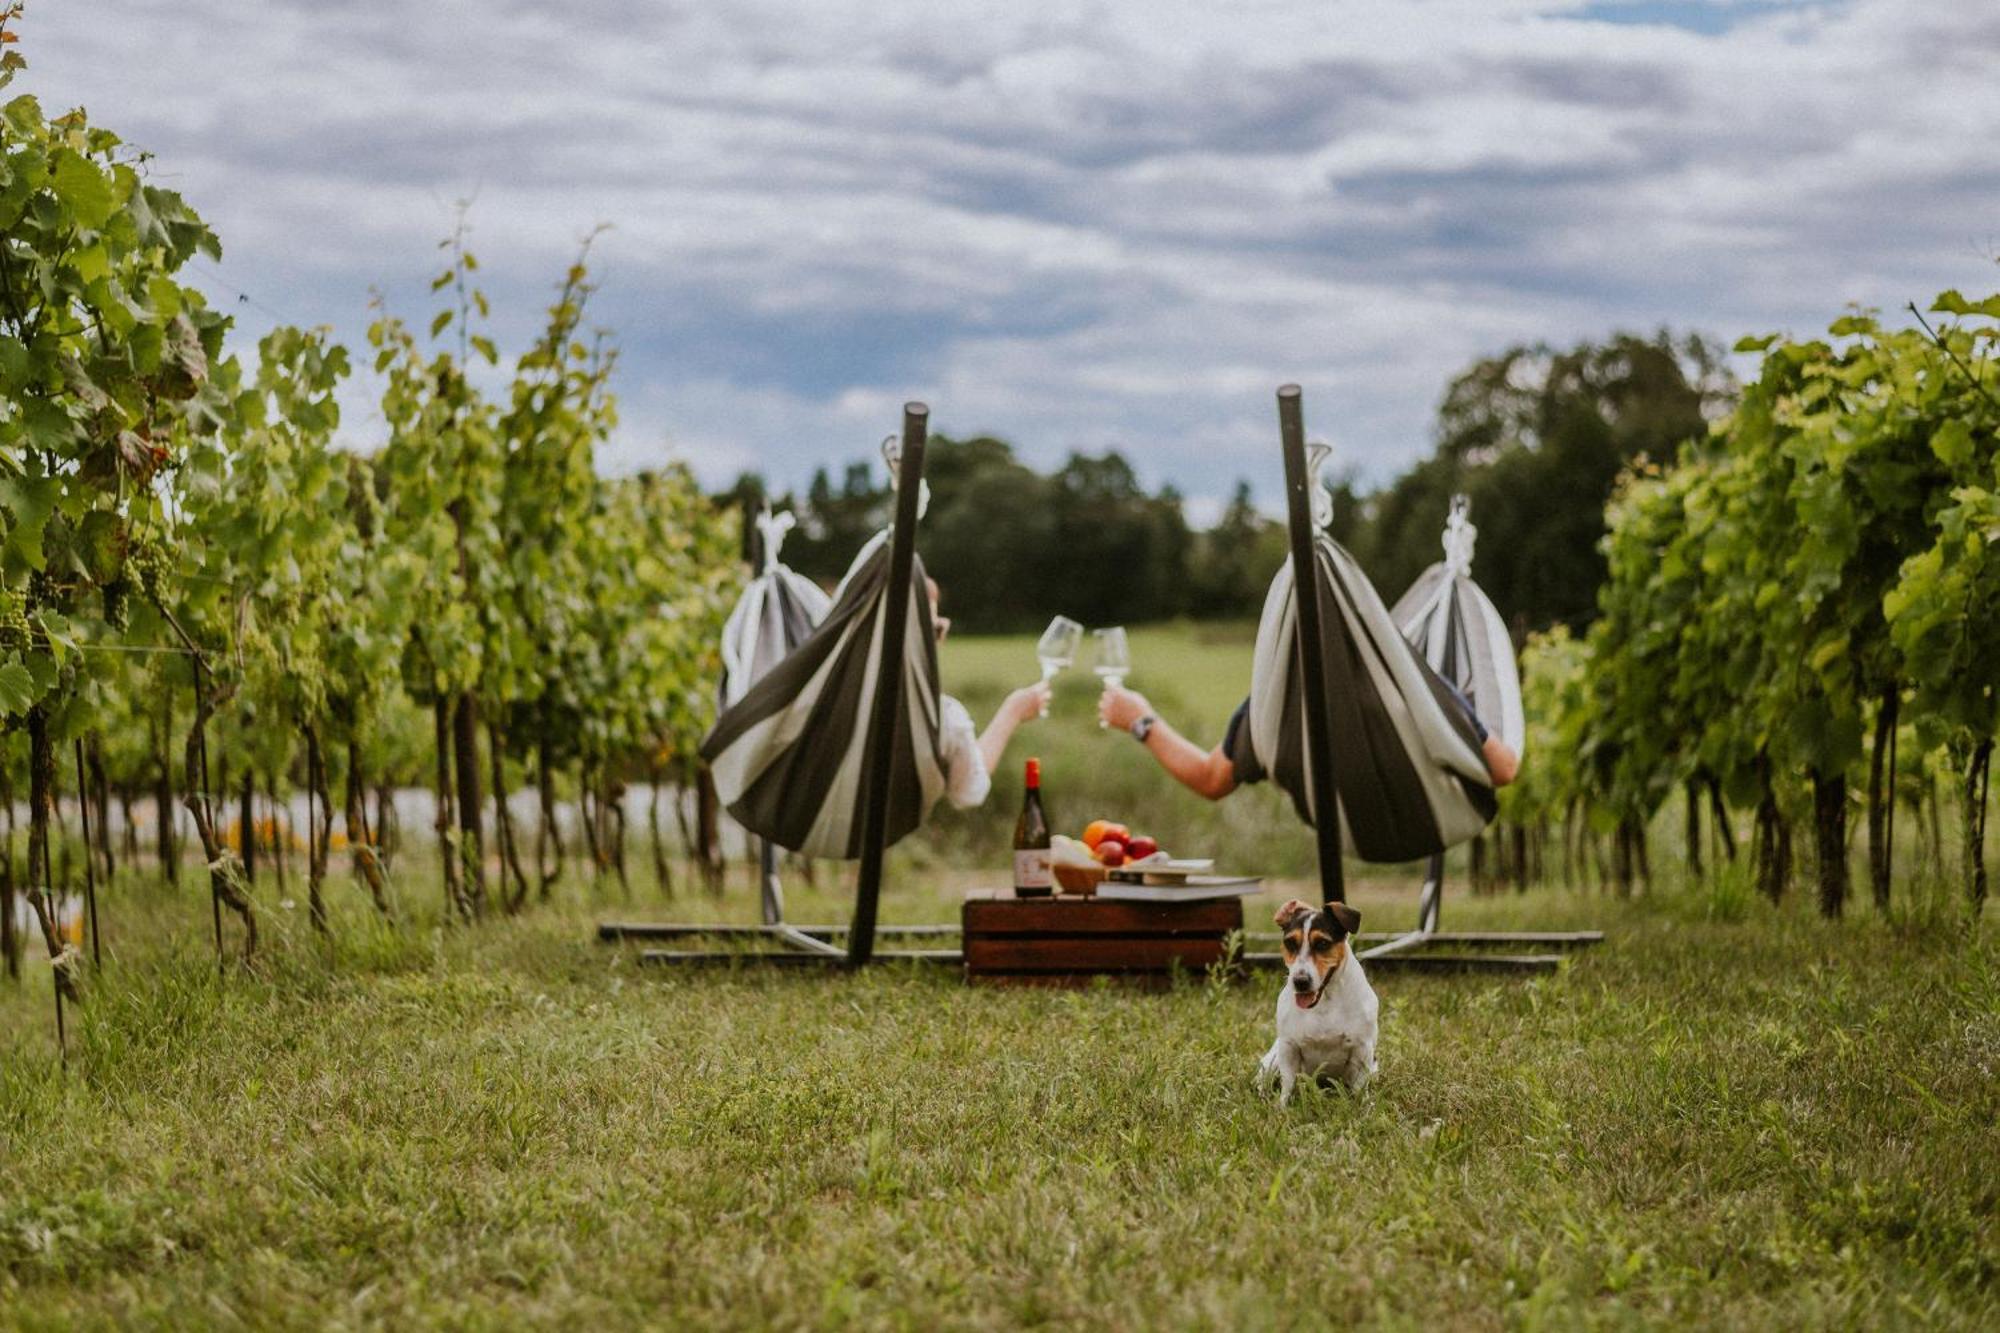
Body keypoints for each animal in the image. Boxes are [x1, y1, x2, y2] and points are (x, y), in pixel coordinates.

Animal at [1256, 892, 1384, 1096]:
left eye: (1323, 943)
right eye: (1290, 943)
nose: (1300, 981)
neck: (1325, 1001)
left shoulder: (1362, 1049)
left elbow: (1359, 1090)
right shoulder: (1288, 1048)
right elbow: (1287, 1086)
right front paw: (1282, 1104)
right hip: (1270, 1062)